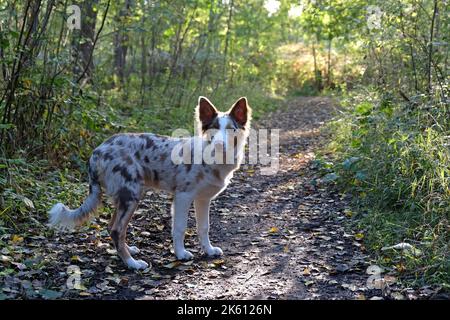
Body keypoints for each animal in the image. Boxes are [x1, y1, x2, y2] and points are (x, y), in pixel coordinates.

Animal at [51, 96, 253, 268]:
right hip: (131, 195)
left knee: (112, 227)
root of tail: (98, 151)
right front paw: (180, 254)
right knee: (117, 230)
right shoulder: (183, 196)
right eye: (213, 129)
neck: (212, 158)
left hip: (125, 196)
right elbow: (180, 228)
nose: (219, 144)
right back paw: (132, 264)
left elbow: (204, 227)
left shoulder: (203, 199)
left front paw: (209, 250)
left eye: (231, 129)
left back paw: (128, 251)